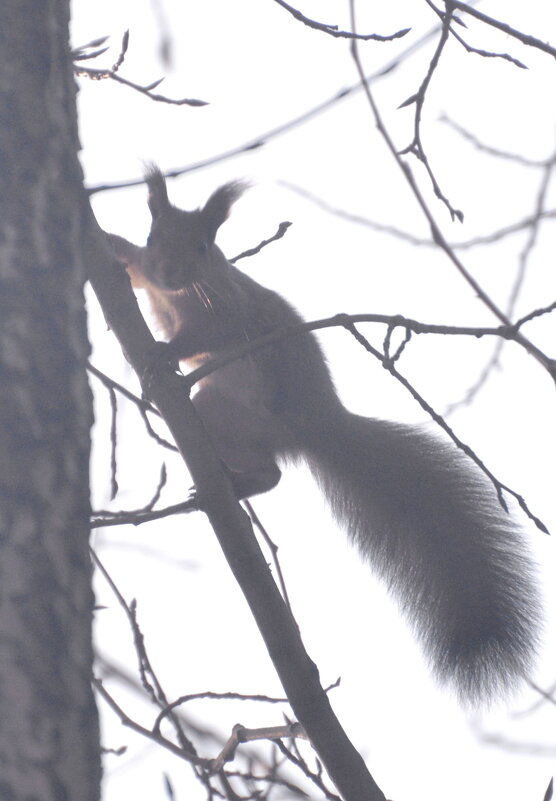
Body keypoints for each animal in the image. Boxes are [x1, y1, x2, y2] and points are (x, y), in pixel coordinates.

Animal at [107, 166, 540, 704]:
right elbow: (133, 270)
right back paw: (230, 484)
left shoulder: (229, 310)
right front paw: (109, 244)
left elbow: (208, 335)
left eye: (204, 246)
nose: (169, 271)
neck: (179, 295)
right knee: (268, 470)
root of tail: (319, 424)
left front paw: (168, 351)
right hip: (218, 413)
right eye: (153, 238)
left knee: (273, 470)